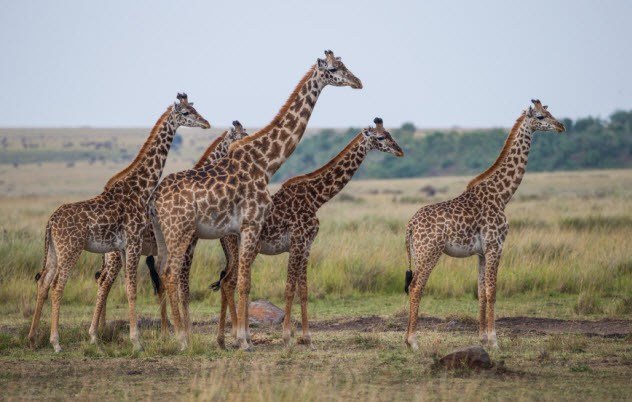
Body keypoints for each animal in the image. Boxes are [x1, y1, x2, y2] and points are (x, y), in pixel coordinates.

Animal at [29, 94, 210, 352]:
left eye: (194, 109)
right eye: (186, 113)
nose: (206, 123)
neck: (140, 188)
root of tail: (50, 222)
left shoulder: (125, 247)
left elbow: (127, 288)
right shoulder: (133, 242)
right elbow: (133, 289)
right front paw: (137, 342)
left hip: (54, 251)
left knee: (44, 282)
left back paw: (33, 338)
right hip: (70, 250)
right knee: (57, 286)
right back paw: (56, 343)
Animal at [89, 120, 247, 342]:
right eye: (243, 136)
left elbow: (169, 285)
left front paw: (169, 331)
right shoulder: (188, 247)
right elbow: (182, 288)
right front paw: (185, 331)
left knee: (102, 278)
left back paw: (102, 329)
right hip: (114, 253)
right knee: (104, 281)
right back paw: (97, 332)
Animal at [151, 50, 362, 348]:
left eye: (345, 64)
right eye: (333, 69)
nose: (358, 82)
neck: (265, 164)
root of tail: (155, 199)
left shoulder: (246, 229)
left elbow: (242, 281)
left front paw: (241, 337)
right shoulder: (251, 224)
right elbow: (243, 283)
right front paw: (244, 341)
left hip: (163, 234)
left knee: (164, 273)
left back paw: (172, 336)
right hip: (180, 231)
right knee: (172, 274)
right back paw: (182, 339)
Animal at [210, 117, 402, 348]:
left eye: (390, 134)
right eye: (381, 137)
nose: (400, 151)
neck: (316, 198)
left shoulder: (307, 245)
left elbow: (303, 290)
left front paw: (307, 338)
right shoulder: (297, 243)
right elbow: (289, 289)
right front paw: (287, 338)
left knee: (228, 281)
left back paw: (229, 339)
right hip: (244, 248)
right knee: (231, 282)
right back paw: (234, 338)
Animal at [402, 99, 564, 348]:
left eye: (549, 112)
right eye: (540, 117)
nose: (561, 126)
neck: (502, 195)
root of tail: (410, 225)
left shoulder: (481, 251)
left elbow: (480, 291)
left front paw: (482, 337)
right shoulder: (496, 246)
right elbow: (492, 290)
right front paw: (495, 340)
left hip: (418, 252)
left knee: (413, 286)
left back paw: (408, 340)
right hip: (430, 251)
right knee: (417, 286)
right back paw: (413, 341)